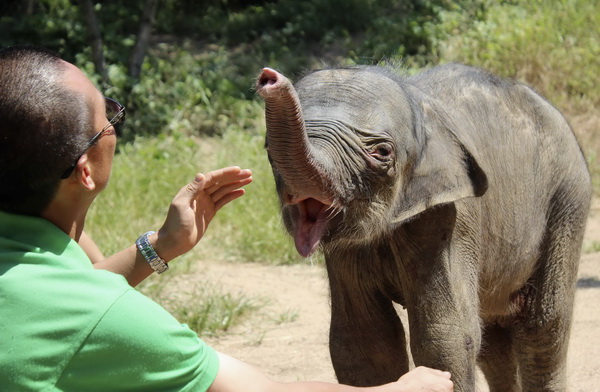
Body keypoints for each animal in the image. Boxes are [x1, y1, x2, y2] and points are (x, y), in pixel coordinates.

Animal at [253, 64, 592, 392]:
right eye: (269, 150)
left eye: (382, 152)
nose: (268, 78)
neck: (418, 106)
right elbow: (363, 340)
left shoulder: (452, 215)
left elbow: (445, 337)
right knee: (494, 335)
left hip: (568, 199)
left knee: (543, 325)